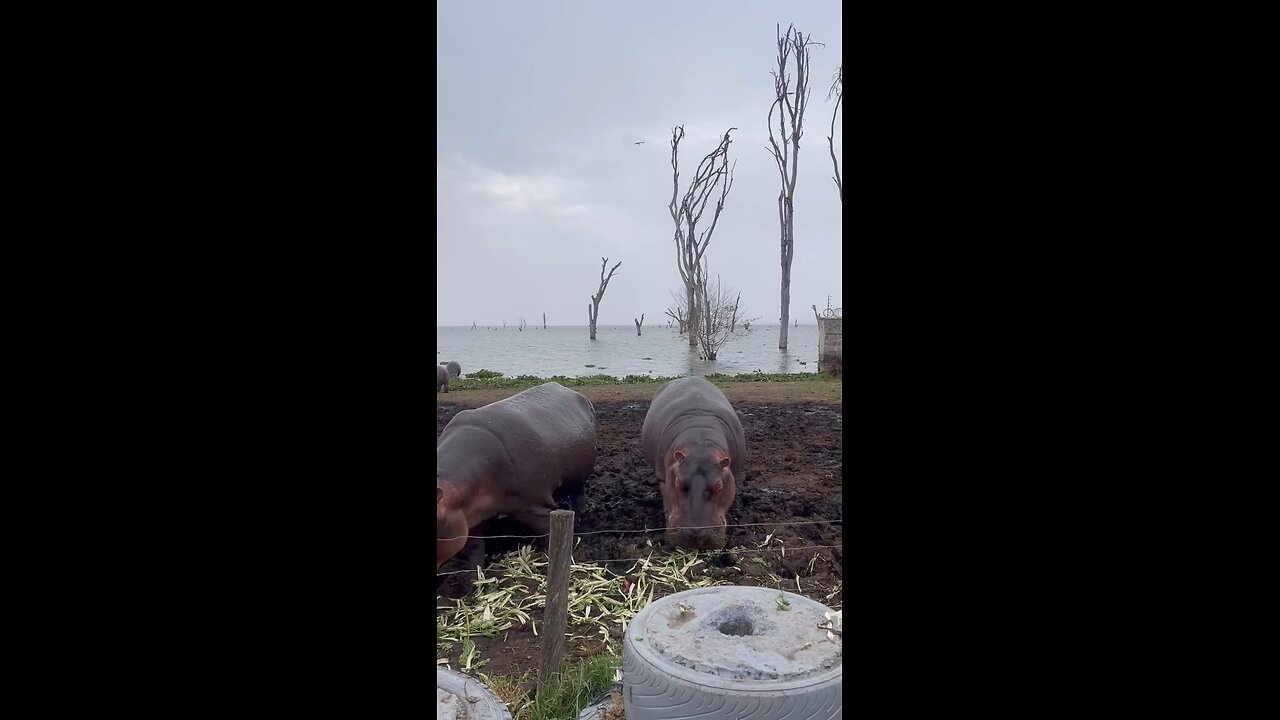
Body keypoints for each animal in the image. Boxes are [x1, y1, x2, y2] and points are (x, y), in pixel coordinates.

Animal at [436, 382, 597, 569]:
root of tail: (568, 389)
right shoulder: (471, 517)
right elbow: (475, 547)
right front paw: (476, 570)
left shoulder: (536, 507)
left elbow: (547, 536)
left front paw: (544, 558)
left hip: (579, 477)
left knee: (578, 495)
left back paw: (579, 519)